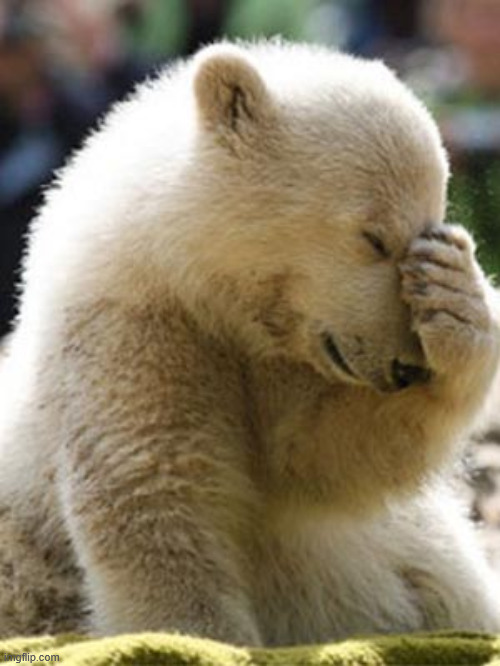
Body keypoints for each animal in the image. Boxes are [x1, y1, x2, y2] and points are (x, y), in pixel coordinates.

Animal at [0, 39, 499, 645]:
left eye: (425, 231)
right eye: (373, 237)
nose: (405, 368)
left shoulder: (288, 365)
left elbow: (331, 457)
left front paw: (455, 297)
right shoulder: (132, 326)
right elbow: (155, 487)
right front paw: (192, 636)